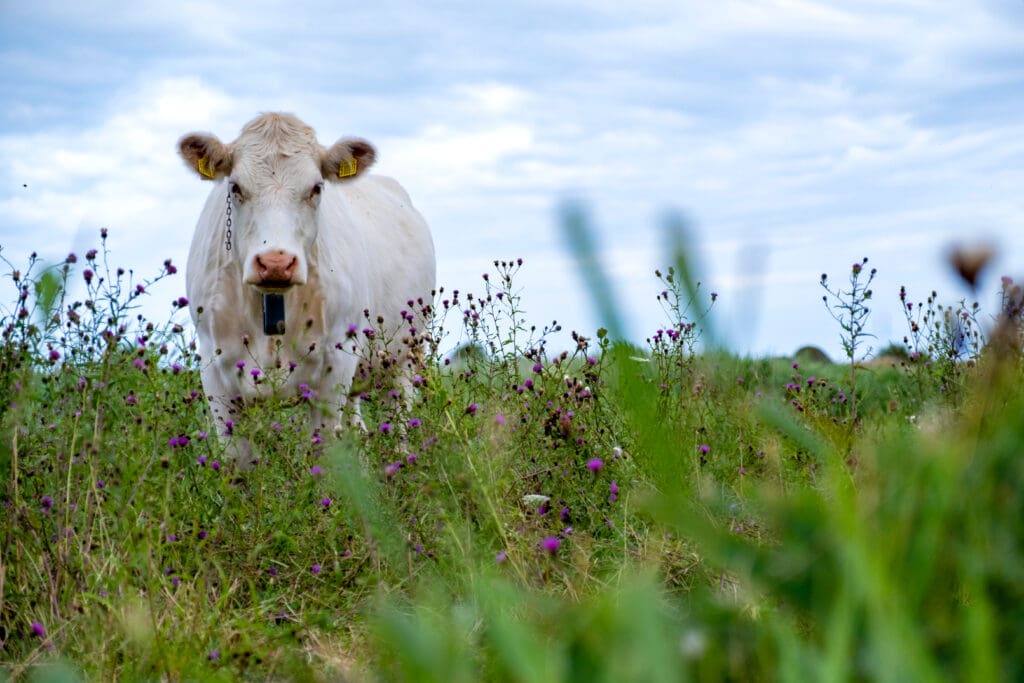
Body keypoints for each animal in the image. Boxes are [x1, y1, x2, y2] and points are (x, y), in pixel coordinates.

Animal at [178, 113, 434, 464]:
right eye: (235, 187)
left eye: (316, 188)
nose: (275, 262)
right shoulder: (214, 369)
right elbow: (238, 460)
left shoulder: (336, 363)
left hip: (403, 357)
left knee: (397, 425)